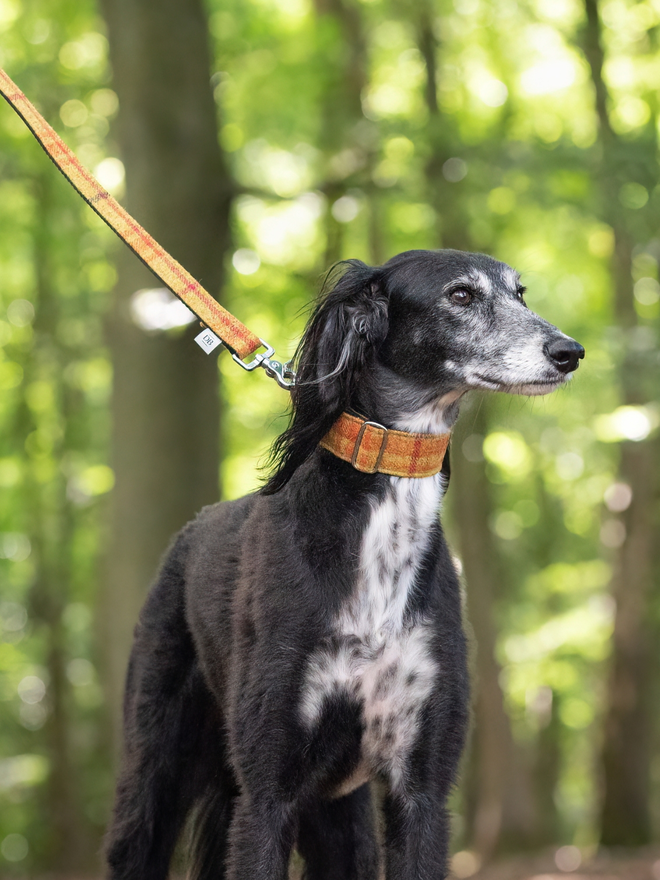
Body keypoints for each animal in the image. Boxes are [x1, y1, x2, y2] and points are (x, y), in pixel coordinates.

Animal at [105, 249, 584, 880]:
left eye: (520, 293)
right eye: (460, 295)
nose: (570, 352)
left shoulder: (420, 789)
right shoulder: (268, 793)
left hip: (337, 814)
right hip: (154, 772)